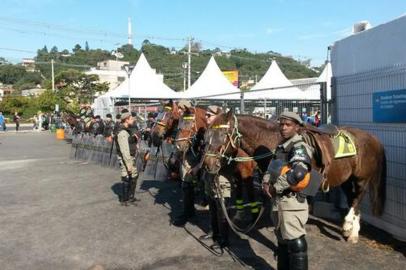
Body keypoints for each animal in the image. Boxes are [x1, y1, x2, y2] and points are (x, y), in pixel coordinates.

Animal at [205, 110, 386, 244]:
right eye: (208, 134)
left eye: (223, 134)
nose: (208, 163)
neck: (274, 141)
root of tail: (373, 138)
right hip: (346, 179)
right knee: (352, 199)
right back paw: (350, 230)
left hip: (361, 179)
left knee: (357, 199)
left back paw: (351, 230)